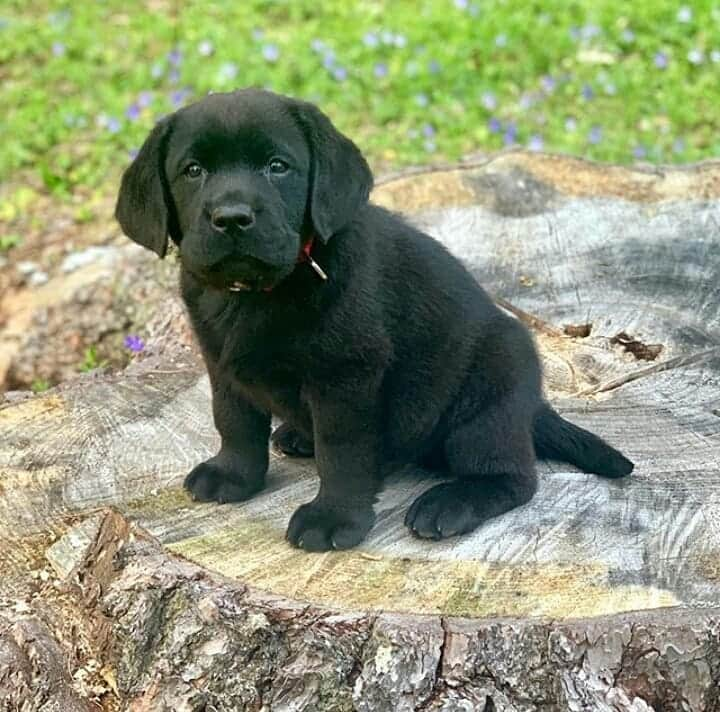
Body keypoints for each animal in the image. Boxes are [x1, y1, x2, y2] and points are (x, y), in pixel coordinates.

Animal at [115, 89, 632, 552]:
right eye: (193, 171)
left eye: (277, 167)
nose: (232, 217)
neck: (261, 292)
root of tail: (532, 407)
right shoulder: (222, 365)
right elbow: (234, 422)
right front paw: (233, 475)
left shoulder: (346, 377)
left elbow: (342, 454)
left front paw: (332, 518)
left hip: (488, 395)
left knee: (513, 476)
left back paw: (450, 503)